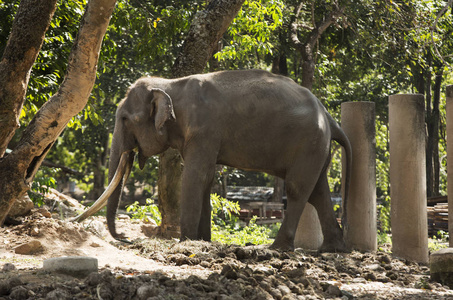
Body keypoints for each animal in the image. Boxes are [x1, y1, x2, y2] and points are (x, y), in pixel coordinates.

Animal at [81, 69, 352, 251]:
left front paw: (186, 241)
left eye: (125, 119)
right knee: (319, 191)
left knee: (298, 190)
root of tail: (328, 115)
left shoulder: (205, 130)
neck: (170, 84)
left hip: (308, 143)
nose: (125, 238)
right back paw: (332, 249)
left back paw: (277, 248)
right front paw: (202, 240)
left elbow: (196, 176)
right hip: (317, 147)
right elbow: (207, 179)